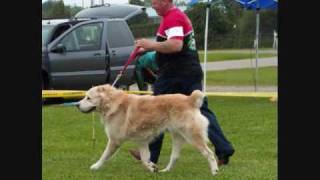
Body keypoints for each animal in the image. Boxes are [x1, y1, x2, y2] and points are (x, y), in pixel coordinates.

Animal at [76, 84, 219, 176]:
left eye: (88, 98)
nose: (77, 105)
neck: (112, 103)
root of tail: (190, 99)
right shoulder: (142, 142)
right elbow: (145, 160)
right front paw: (152, 168)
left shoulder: (115, 141)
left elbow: (104, 156)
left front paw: (95, 166)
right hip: (177, 136)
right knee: (175, 157)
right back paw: (165, 171)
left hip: (192, 136)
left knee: (209, 153)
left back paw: (215, 171)